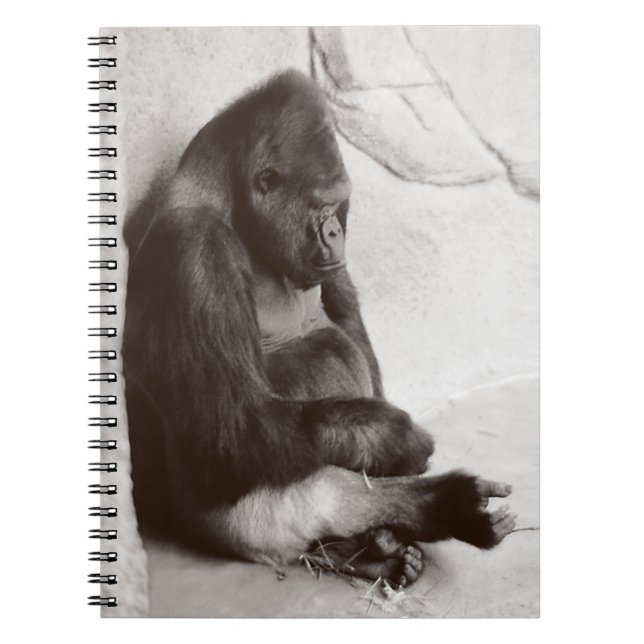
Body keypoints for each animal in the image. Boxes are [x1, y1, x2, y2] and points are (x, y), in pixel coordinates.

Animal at [123, 69, 516, 589]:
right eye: (320, 206)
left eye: (340, 204)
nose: (335, 232)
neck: (230, 199)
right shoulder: (193, 252)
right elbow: (235, 426)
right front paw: (396, 436)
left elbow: (345, 319)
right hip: (230, 527)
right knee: (311, 491)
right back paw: (434, 512)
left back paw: (380, 545)